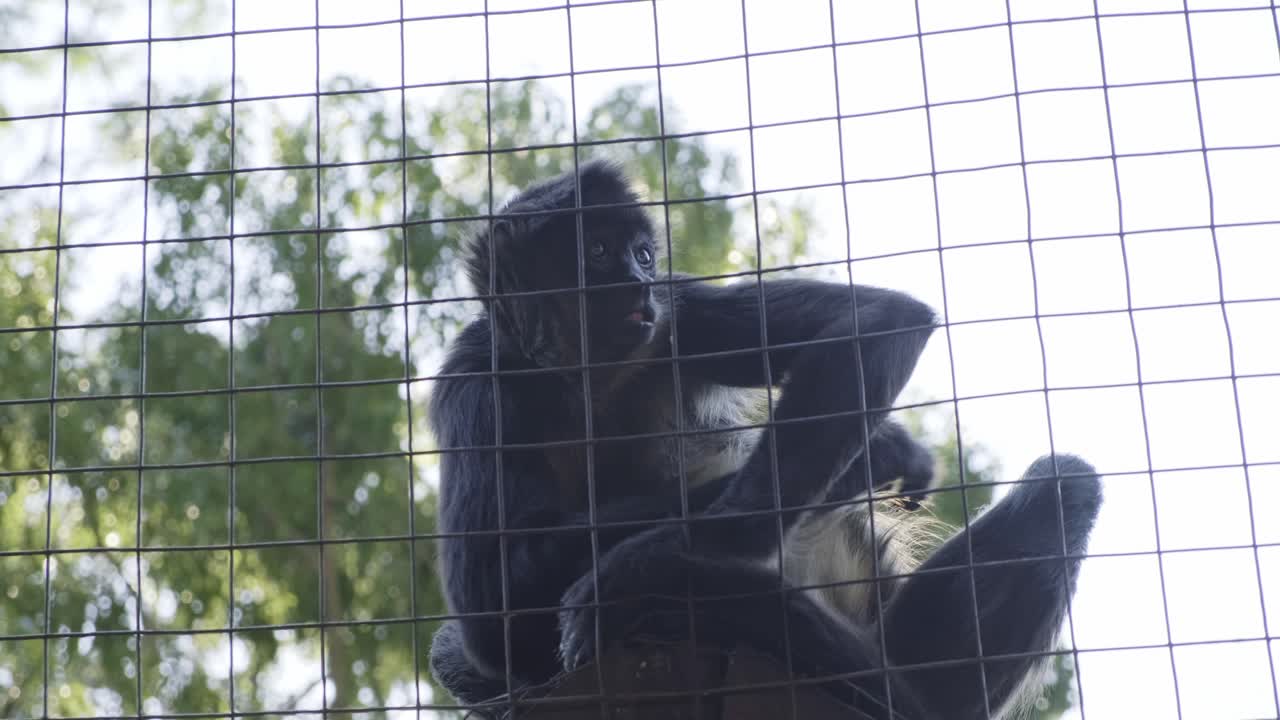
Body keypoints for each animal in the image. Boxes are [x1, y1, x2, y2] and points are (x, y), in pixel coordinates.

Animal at [427, 160, 1101, 719]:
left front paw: (663, 556)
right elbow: (490, 609)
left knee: (1064, 484)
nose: (638, 285)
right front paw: (877, 453)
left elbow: (883, 321)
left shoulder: (677, 310)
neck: (590, 379)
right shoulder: (474, 383)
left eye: (643, 255)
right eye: (596, 252)